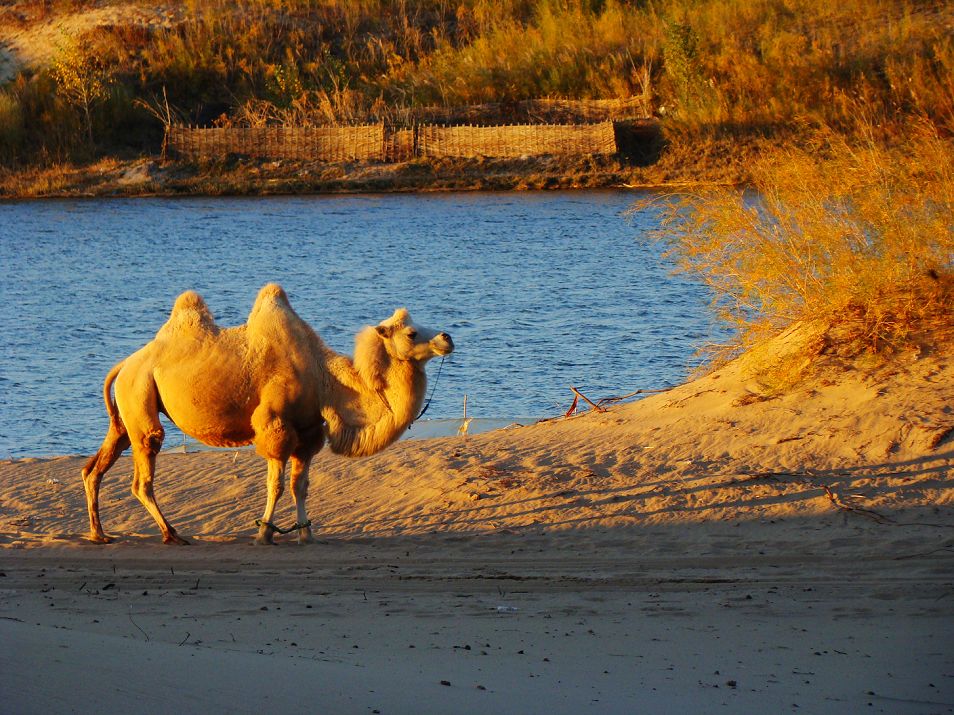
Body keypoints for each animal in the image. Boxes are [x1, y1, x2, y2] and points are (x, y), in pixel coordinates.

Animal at [82, 282, 454, 544]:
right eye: (411, 332)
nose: (447, 337)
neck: (322, 376)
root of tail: (123, 365)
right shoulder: (276, 425)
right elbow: (275, 485)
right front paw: (265, 533)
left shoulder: (308, 431)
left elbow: (300, 485)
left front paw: (305, 533)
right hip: (140, 394)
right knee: (142, 475)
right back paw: (171, 534)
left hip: (127, 410)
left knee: (96, 465)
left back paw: (99, 534)